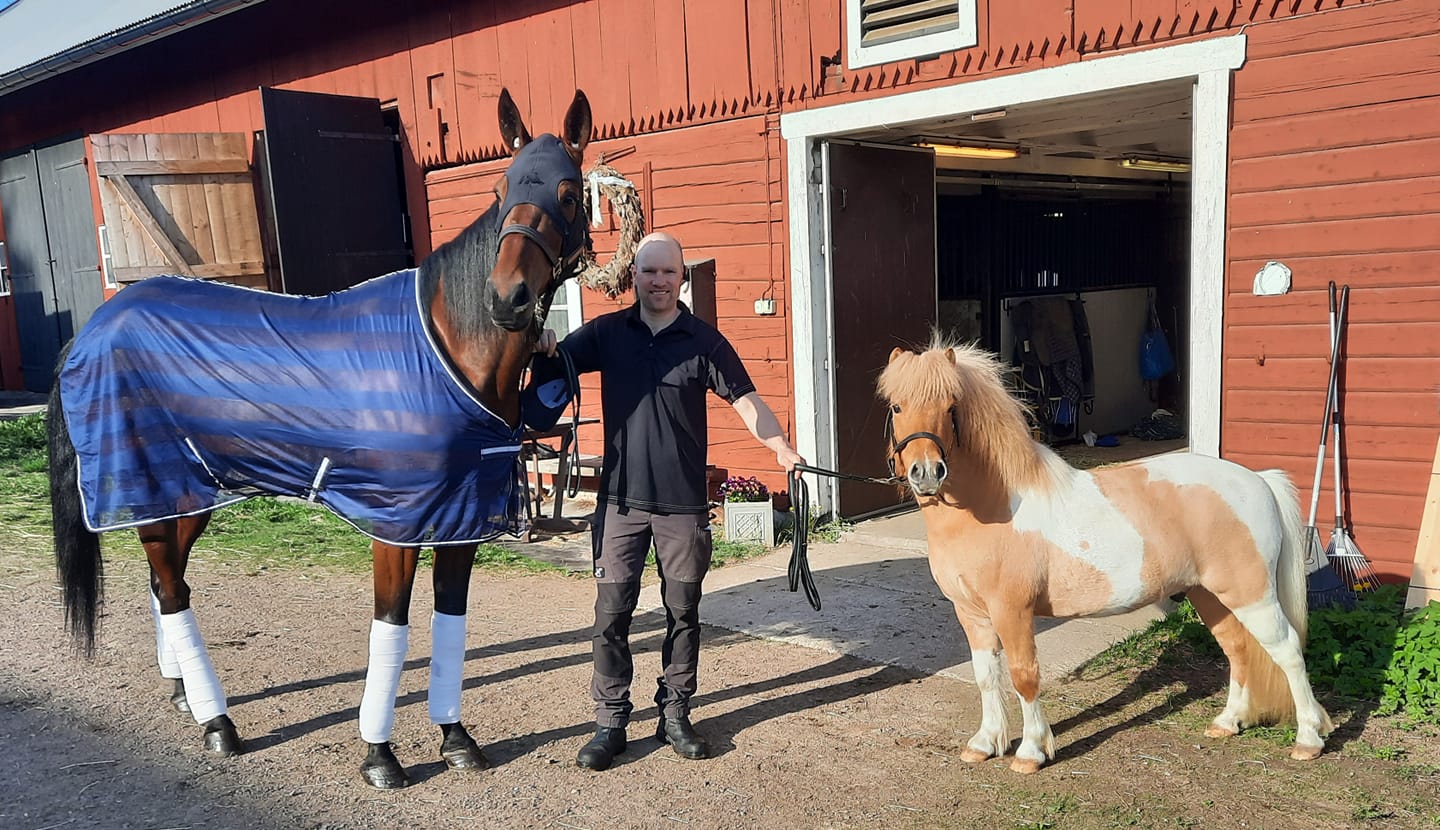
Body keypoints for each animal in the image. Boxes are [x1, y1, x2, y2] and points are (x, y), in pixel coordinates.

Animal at [47, 88, 593, 789]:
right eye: (501, 188)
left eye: (568, 192)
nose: (509, 299)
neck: (445, 347)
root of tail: (92, 329)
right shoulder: (398, 526)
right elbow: (392, 627)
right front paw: (380, 755)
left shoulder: (460, 519)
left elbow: (451, 620)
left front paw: (456, 738)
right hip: (160, 484)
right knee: (170, 588)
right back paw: (218, 724)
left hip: (184, 495)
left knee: (166, 583)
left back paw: (183, 695)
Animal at [876, 338, 1333, 774]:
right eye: (896, 405)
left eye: (949, 407)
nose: (926, 473)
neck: (993, 508)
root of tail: (1259, 480)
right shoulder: (971, 613)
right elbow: (986, 677)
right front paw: (985, 744)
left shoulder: (1013, 611)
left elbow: (1024, 677)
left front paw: (1030, 752)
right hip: (1209, 595)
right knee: (1237, 649)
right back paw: (1227, 722)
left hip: (1252, 595)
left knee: (1288, 651)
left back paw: (1308, 739)